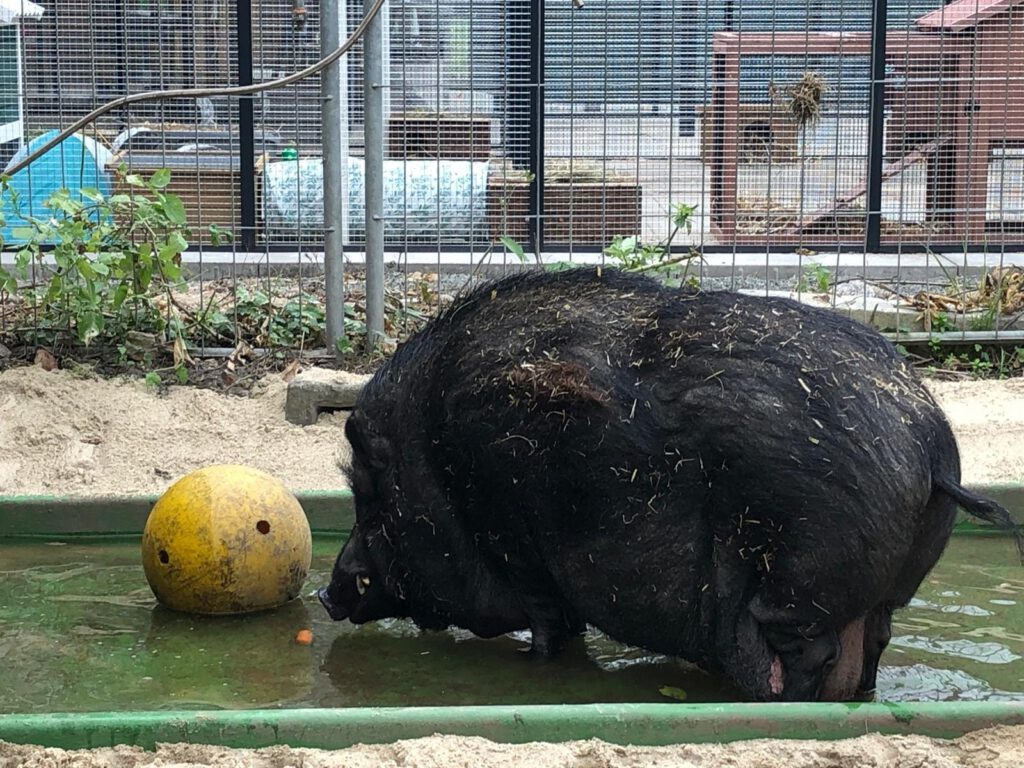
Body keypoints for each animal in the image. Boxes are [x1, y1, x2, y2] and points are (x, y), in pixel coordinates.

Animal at [317, 268, 1015, 704]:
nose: (327, 592)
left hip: (799, 584)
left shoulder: (524, 557)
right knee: (874, 646)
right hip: (885, 596)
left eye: (372, 503)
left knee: (808, 656)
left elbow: (548, 631)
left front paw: (526, 668)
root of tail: (930, 447)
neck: (441, 467)